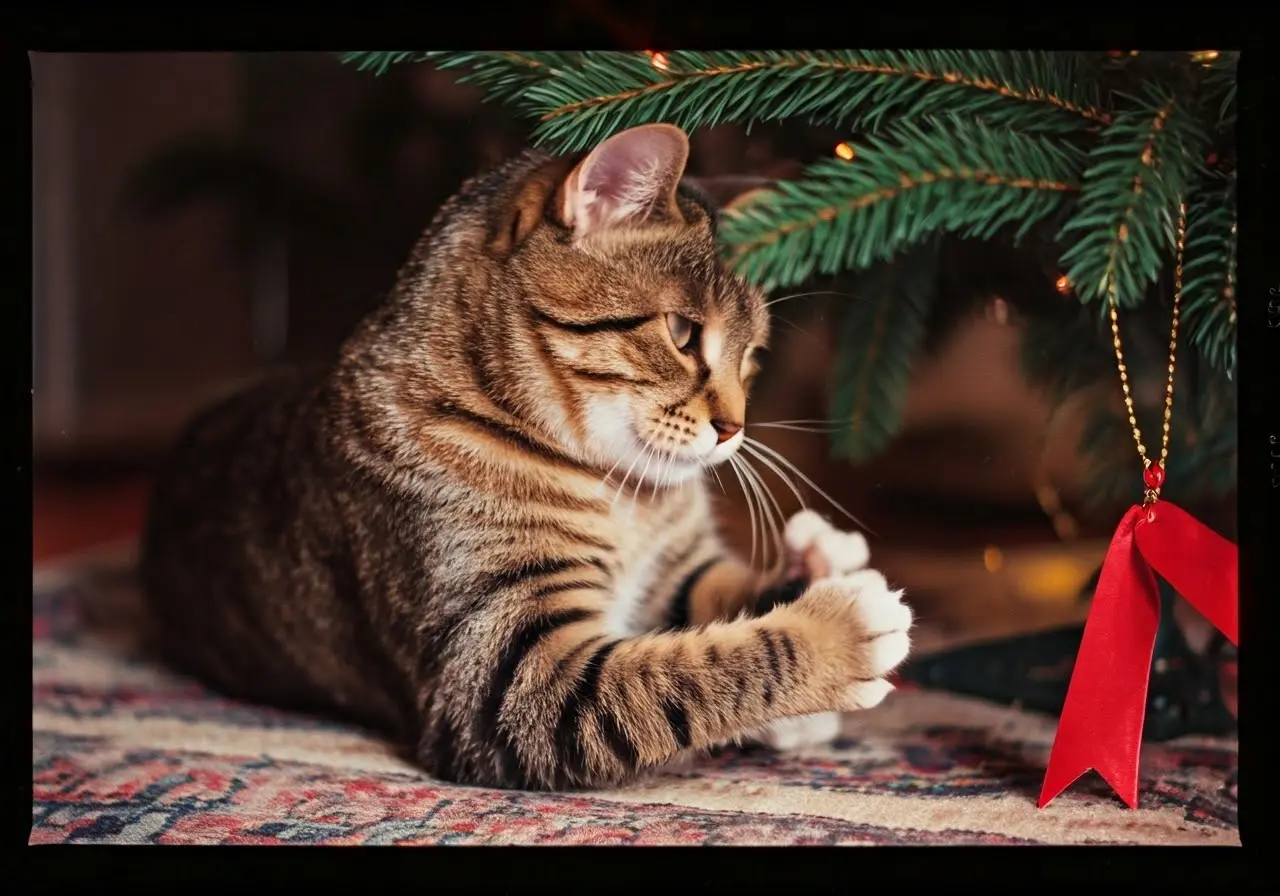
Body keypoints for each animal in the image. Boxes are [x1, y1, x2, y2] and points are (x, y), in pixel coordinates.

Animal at [140, 122, 916, 788]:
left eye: (752, 357)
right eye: (682, 332)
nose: (734, 428)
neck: (621, 493)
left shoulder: (675, 574)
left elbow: (716, 598)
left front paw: (812, 567)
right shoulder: (504, 677)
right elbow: (684, 672)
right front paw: (841, 632)